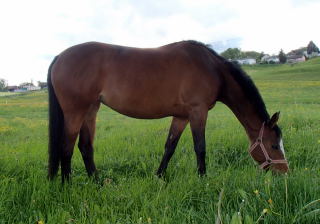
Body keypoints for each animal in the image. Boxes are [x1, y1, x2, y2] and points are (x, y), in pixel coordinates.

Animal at [47, 40, 288, 182]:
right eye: (274, 146)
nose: (285, 172)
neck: (212, 68)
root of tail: (60, 57)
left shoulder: (181, 117)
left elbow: (170, 147)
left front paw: (160, 176)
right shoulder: (198, 111)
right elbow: (200, 147)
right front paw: (202, 178)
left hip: (90, 110)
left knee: (85, 146)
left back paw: (96, 182)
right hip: (75, 112)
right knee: (66, 147)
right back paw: (67, 184)